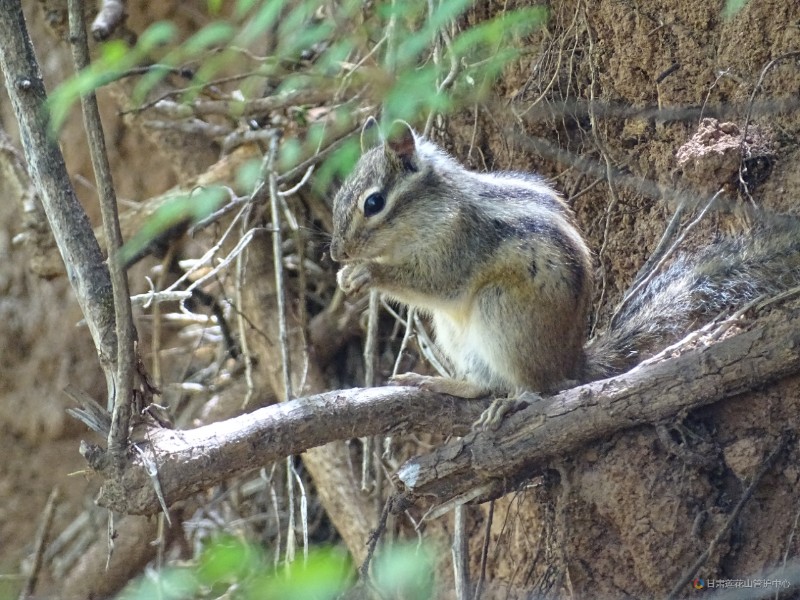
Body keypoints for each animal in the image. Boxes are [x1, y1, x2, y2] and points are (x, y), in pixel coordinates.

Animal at [328, 115, 800, 400]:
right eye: (337, 197)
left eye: (373, 203)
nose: (337, 252)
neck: (432, 210)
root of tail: (572, 359)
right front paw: (346, 277)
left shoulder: (458, 244)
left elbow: (433, 283)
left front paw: (366, 274)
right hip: (455, 336)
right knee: (486, 386)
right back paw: (443, 384)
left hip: (501, 311)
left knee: (535, 386)